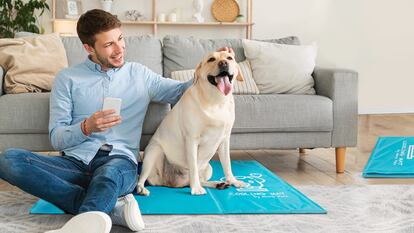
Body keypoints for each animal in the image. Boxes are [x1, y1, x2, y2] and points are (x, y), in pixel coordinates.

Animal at [136, 50, 246, 195]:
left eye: (229, 58)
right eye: (211, 59)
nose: (223, 63)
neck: (216, 100)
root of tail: (170, 183)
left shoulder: (224, 140)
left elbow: (227, 164)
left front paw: (233, 181)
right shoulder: (192, 140)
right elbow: (193, 166)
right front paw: (196, 189)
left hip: (208, 167)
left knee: (195, 180)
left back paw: (217, 184)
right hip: (154, 152)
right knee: (142, 178)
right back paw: (141, 188)